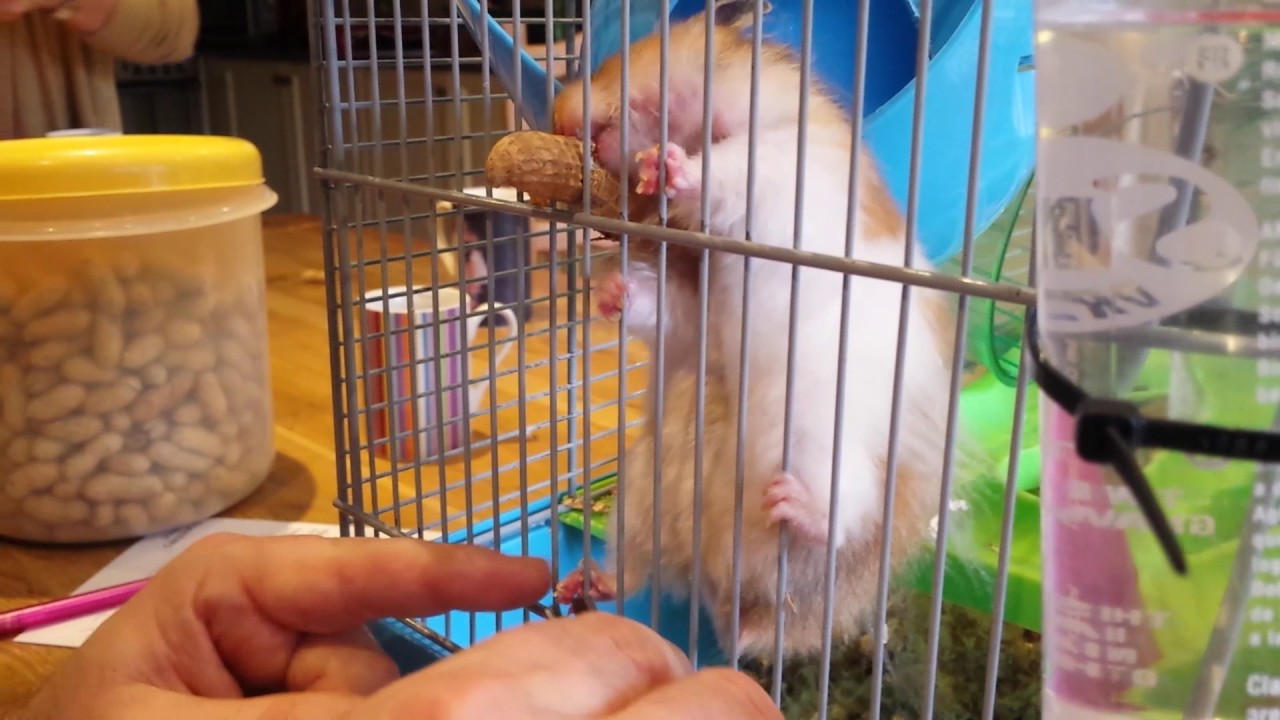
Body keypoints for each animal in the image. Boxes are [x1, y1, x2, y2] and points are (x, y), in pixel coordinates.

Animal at [551, 3, 974, 662]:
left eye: (623, 56)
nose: (558, 115)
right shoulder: (695, 304)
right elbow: (666, 305)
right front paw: (612, 292)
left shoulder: (784, 165)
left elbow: (727, 171)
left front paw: (666, 166)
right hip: (642, 494)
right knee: (637, 572)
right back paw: (582, 582)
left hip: (822, 431)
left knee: (843, 509)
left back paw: (796, 506)